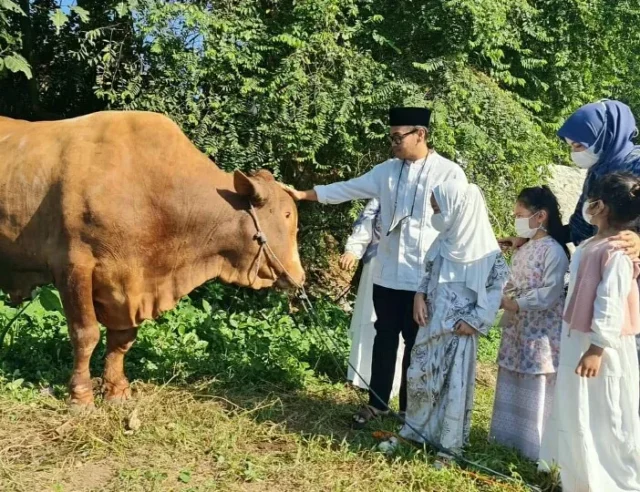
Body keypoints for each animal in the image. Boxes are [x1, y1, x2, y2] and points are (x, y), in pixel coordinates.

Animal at [0, 111, 304, 408]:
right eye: (287, 215)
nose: (300, 276)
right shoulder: (73, 266)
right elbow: (85, 334)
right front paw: (81, 397)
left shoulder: (130, 282)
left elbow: (121, 339)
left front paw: (117, 391)